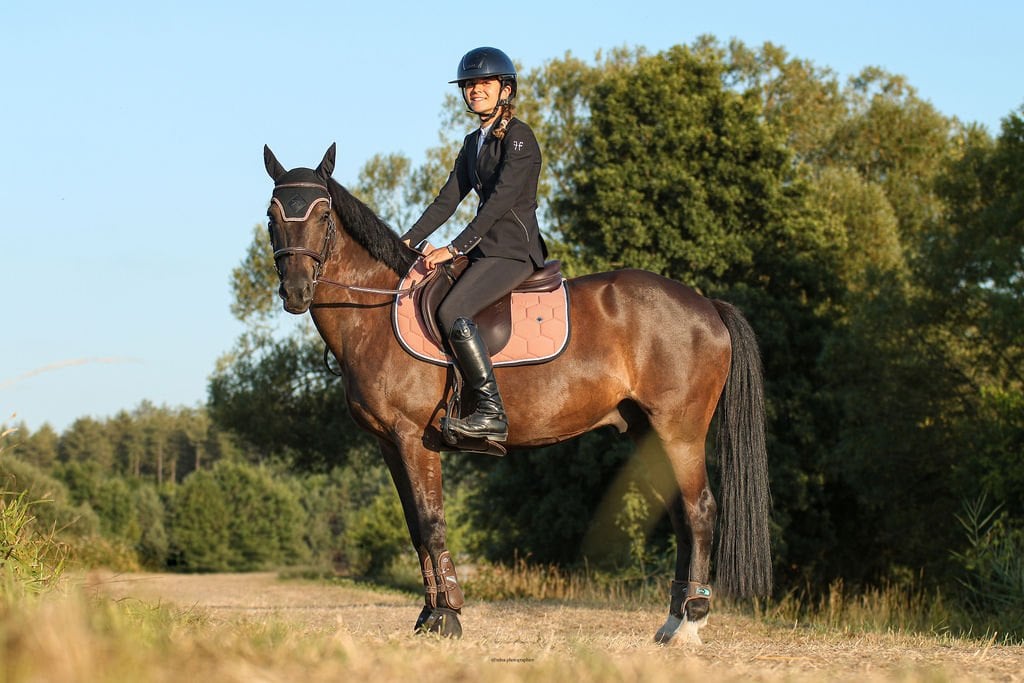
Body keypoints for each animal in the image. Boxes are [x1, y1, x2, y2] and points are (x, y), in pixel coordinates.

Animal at [262, 143, 772, 644]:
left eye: (323, 215)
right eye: (272, 216)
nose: (296, 291)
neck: (375, 309)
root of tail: (706, 305)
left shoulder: (413, 439)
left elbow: (431, 522)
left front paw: (447, 616)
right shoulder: (389, 444)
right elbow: (415, 530)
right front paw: (429, 616)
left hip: (680, 430)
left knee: (699, 510)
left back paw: (692, 621)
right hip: (648, 432)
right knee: (681, 515)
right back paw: (672, 619)